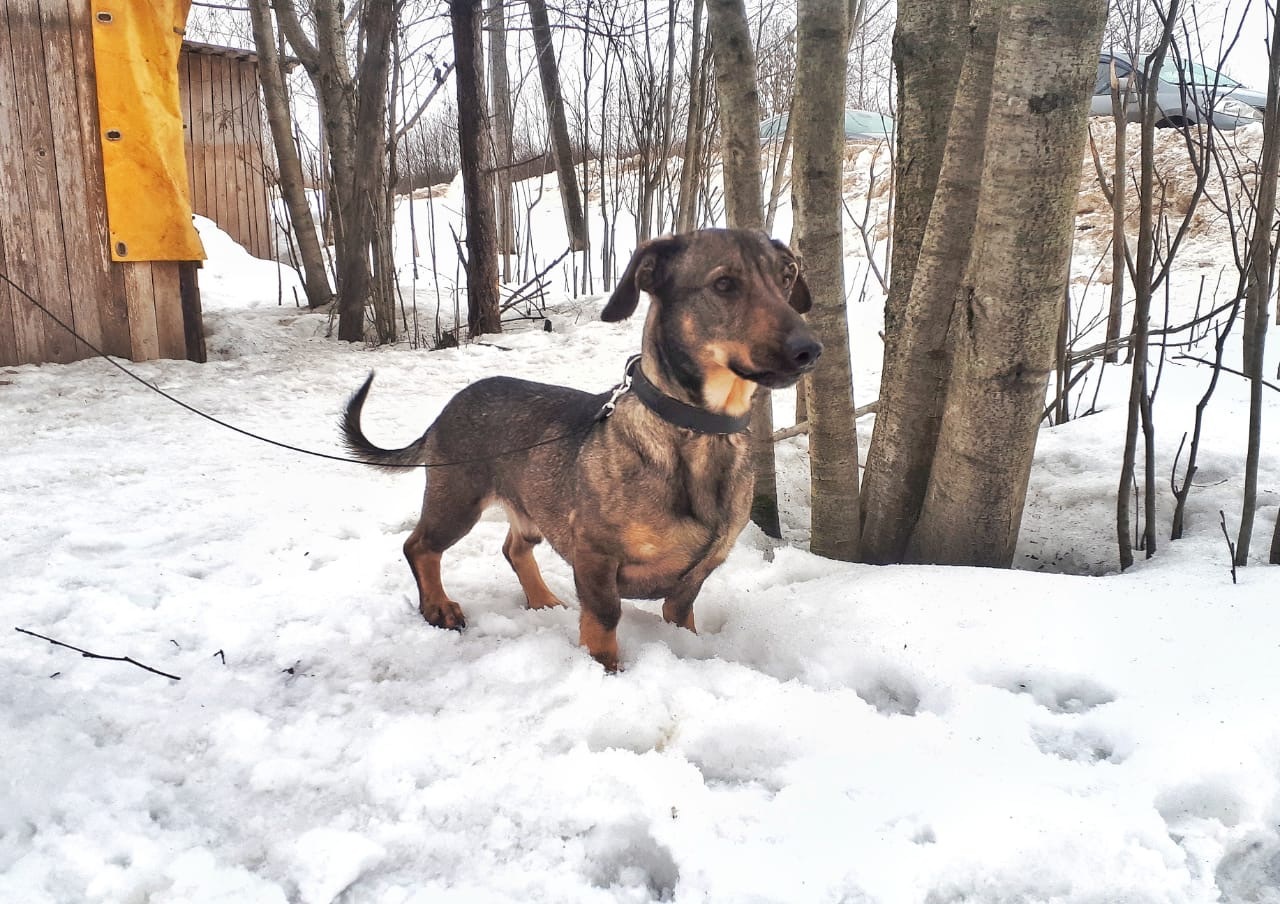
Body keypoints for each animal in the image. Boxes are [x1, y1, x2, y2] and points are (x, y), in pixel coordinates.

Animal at [340, 226, 819, 670]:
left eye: (787, 275)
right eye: (724, 284)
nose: (810, 350)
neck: (696, 432)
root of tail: (448, 408)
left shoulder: (696, 575)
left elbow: (680, 615)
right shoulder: (594, 554)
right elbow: (604, 617)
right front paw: (604, 669)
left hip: (530, 509)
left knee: (514, 548)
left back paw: (542, 599)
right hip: (456, 501)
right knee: (419, 547)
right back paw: (439, 607)